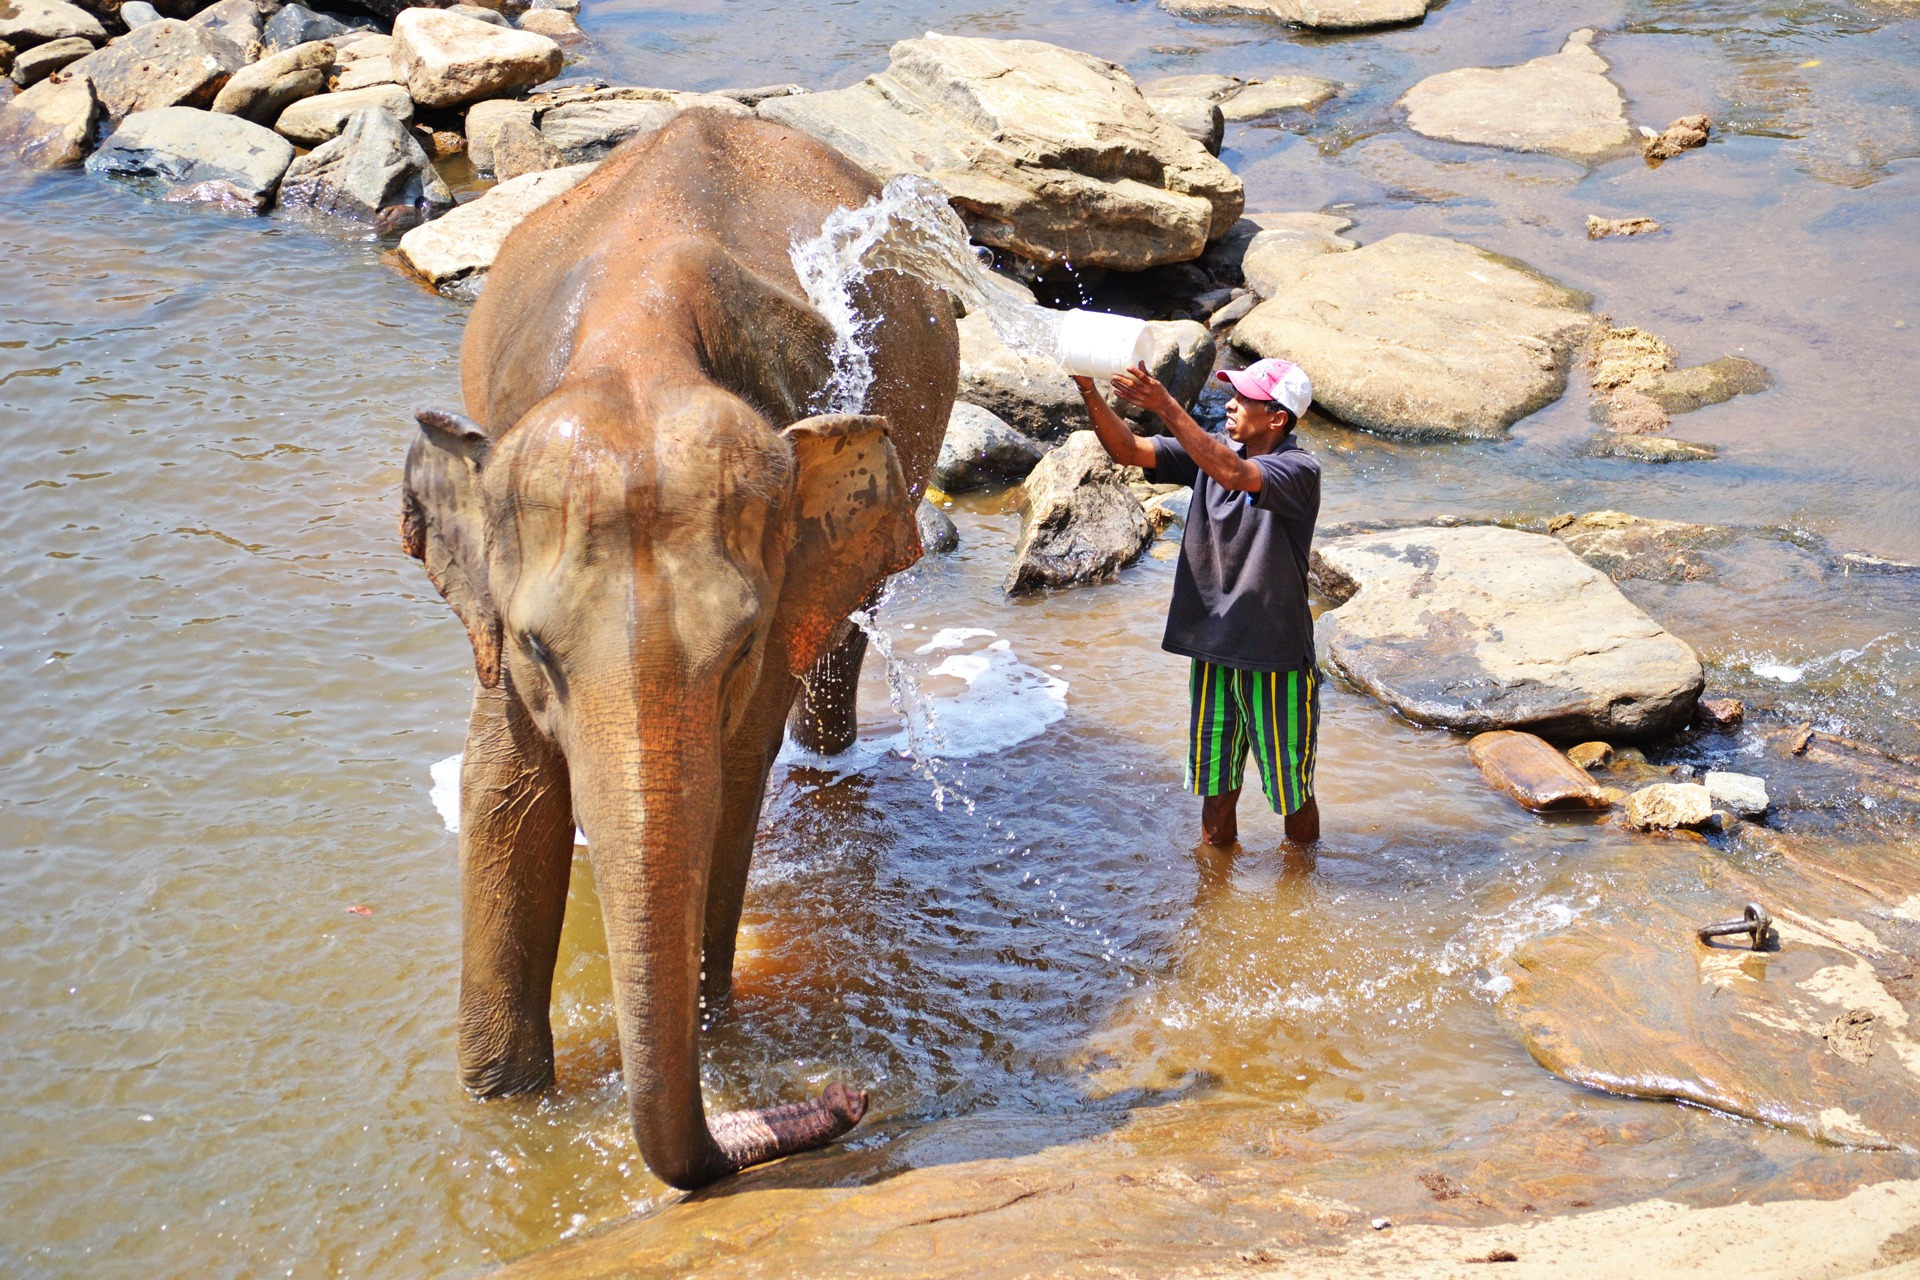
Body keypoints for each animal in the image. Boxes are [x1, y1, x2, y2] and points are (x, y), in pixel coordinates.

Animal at [399, 109, 959, 1189]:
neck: (638, 350)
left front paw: (708, 1011)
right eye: (536, 648)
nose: (850, 1096)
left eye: (737, 648)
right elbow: (506, 788)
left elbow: (730, 785)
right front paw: (502, 1103)